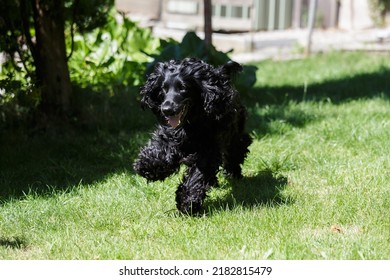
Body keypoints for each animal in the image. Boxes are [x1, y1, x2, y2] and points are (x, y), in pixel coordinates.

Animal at [133, 57, 251, 214]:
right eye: (163, 89)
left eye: (182, 88)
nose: (166, 109)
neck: (191, 123)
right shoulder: (171, 135)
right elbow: (161, 149)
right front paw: (148, 167)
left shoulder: (208, 150)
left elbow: (197, 175)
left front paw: (187, 201)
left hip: (235, 134)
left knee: (236, 151)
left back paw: (234, 174)